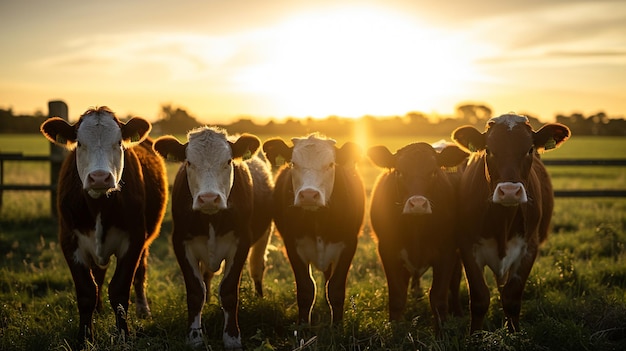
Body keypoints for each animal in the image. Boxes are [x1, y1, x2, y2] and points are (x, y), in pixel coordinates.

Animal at [38, 106, 167, 346]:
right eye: (79, 143)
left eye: (118, 143)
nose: (99, 178)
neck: (98, 206)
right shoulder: (69, 240)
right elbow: (87, 292)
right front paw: (85, 338)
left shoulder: (134, 240)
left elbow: (119, 291)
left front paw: (124, 335)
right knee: (98, 275)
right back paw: (98, 310)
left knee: (140, 271)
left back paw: (143, 309)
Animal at [152, 127, 272, 351]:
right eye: (189, 162)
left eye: (228, 161)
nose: (208, 198)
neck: (211, 219)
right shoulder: (181, 243)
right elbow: (195, 291)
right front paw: (194, 337)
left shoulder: (241, 243)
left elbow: (229, 291)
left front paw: (232, 337)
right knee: (207, 276)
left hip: (264, 235)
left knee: (257, 267)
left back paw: (259, 297)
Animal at [260, 133, 366, 326]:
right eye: (293, 163)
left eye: (331, 164)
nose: (309, 195)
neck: (318, 220)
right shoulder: (292, 245)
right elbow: (306, 289)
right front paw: (303, 326)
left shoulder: (349, 245)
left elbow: (336, 289)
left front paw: (337, 326)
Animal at [368, 142, 466, 332]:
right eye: (399, 172)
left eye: (433, 172)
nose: (418, 204)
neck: (416, 228)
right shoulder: (387, 251)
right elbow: (397, 296)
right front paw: (395, 330)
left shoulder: (447, 252)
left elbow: (438, 298)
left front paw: (441, 332)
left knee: (454, 282)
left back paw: (458, 312)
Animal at [448, 114, 572, 334]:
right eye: (488, 149)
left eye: (529, 149)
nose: (509, 191)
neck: (502, 221)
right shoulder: (467, 246)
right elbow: (479, 298)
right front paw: (475, 336)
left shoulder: (529, 247)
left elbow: (511, 298)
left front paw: (514, 334)